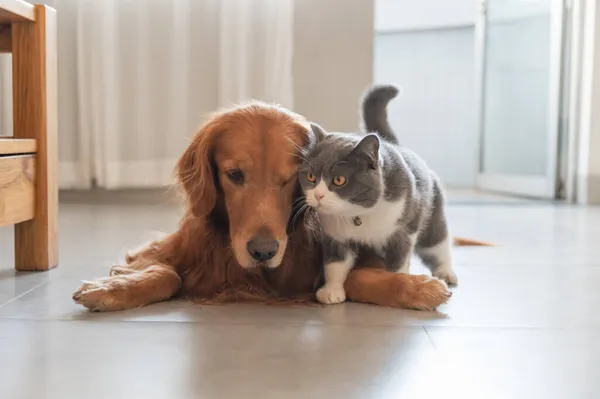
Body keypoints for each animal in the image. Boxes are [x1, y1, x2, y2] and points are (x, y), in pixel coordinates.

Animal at [72, 101, 452, 310]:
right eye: (234, 175)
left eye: (289, 179)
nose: (263, 252)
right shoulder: (162, 250)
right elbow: (166, 272)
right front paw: (112, 289)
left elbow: (359, 276)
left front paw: (416, 287)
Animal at [302, 83, 458, 304]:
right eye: (310, 177)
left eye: (339, 180)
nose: (318, 195)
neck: (359, 215)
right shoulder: (334, 234)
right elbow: (335, 264)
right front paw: (331, 291)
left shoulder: (401, 233)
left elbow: (398, 264)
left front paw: (403, 284)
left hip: (432, 215)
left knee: (438, 242)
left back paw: (446, 272)